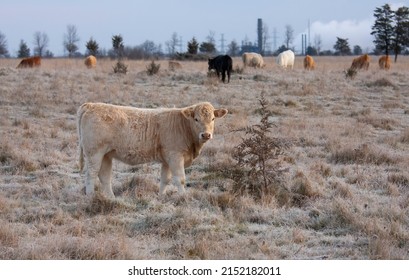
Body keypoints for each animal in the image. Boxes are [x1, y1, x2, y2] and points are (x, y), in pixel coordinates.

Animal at [76, 102, 226, 197]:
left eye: (213, 118)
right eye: (196, 119)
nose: (206, 135)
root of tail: (91, 105)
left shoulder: (167, 160)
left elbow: (165, 179)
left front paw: (161, 197)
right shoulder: (175, 156)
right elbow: (180, 179)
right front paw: (184, 197)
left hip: (106, 155)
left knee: (105, 177)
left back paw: (111, 199)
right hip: (94, 153)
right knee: (91, 174)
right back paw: (90, 197)